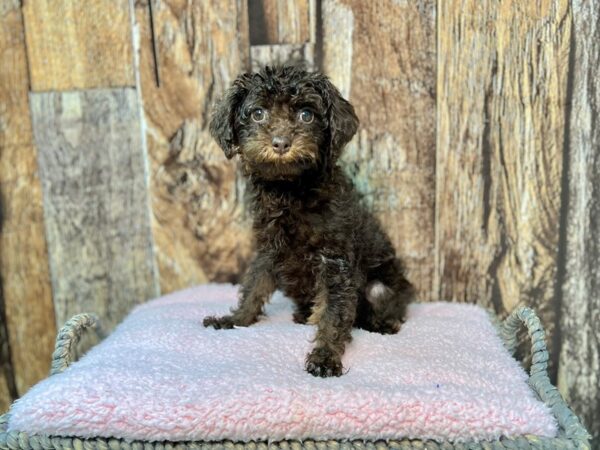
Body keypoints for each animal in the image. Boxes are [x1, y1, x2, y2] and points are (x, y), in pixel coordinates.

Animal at [202, 66, 412, 376]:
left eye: (306, 115)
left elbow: (333, 313)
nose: (280, 143)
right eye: (257, 113)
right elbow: (254, 286)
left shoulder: (335, 260)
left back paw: (383, 323)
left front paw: (325, 356)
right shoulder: (269, 249)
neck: (290, 190)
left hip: (381, 287)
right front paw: (235, 320)